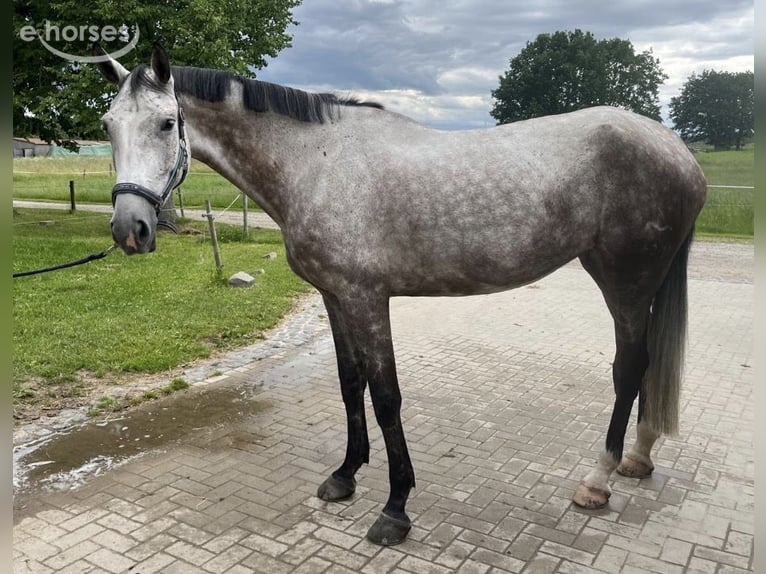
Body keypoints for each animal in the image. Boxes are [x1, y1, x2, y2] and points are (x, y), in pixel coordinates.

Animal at [95, 43, 706, 546]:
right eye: (107, 125)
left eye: (167, 122)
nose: (130, 230)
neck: (316, 163)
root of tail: (677, 150)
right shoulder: (335, 297)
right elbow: (350, 385)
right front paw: (344, 476)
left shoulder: (368, 299)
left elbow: (386, 397)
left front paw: (394, 510)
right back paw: (638, 458)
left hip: (625, 281)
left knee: (630, 367)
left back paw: (598, 480)